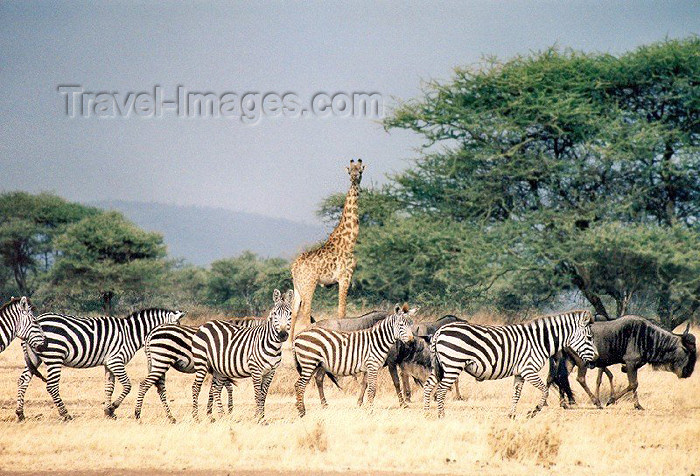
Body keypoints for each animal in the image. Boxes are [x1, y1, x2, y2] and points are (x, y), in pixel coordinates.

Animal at [16, 308, 186, 420]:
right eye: (176, 328)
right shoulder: (115, 360)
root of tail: (37, 320)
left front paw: (108, 412)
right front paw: (112, 408)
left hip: (35, 358)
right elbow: (127, 385)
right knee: (51, 386)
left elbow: (109, 387)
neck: (129, 333)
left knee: (23, 380)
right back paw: (65, 414)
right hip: (54, 357)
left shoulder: (108, 364)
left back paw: (20, 413)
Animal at [136, 318, 266, 422]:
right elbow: (225, 388)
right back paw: (138, 415)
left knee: (161, 388)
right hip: (162, 360)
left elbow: (215, 389)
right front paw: (226, 410)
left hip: (158, 362)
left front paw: (211, 413)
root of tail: (152, 332)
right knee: (146, 385)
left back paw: (171, 417)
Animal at [190, 288, 292, 422]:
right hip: (201, 362)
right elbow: (258, 394)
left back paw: (222, 416)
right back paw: (196, 417)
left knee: (216, 389)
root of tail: (206, 324)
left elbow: (263, 394)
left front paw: (261, 417)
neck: (272, 345)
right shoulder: (255, 370)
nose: (283, 335)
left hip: (219, 368)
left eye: (290, 314)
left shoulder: (271, 372)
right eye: (275, 314)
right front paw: (259, 419)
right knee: (196, 387)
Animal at [290, 160, 366, 338]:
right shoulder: (345, 277)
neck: (349, 241)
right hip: (309, 285)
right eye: (349, 171)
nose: (354, 178)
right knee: (305, 314)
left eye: (360, 171)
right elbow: (342, 312)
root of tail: (294, 268)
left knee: (294, 313)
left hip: (297, 287)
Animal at [422, 308, 596, 416]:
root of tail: (439, 331)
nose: (595, 360)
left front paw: (511, 415)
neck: (539, 341)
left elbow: (516, 394)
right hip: (453, 364)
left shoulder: (520, 373)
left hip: (440, 366)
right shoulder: (529, 370)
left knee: (428, 386)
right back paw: (441, 415)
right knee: (441, 390)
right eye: (589, 338)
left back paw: (427, 414)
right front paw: (533, 412)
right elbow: (545, 391)